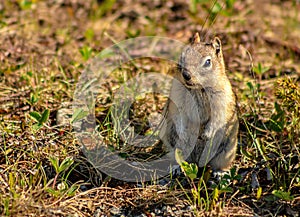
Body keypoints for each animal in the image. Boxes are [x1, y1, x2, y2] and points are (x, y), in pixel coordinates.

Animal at [162, 32, 239, 171]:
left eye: (208, 62)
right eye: (183, 56)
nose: (186, 75)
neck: (198, 88)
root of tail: (198, 162)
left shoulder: (221, 101)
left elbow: (217, 118)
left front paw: (206, 134)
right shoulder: (177, 98)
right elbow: (178, 115)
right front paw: (183, 133)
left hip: (226, 152)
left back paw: (220, 172)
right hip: (174, 148)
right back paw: (176, 168)